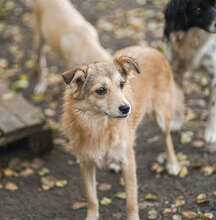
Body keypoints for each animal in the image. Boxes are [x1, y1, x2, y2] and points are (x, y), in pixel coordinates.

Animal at [61, 45, 181, 219]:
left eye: (122, 84)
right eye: (101, 90)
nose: (127, 108)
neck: (98, 126)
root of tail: (149, 48)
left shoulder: (129, 162)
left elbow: (131, 201)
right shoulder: (85, 162)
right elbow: (91, 197)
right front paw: (92, 216)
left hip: (161, 115)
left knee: (167, 139)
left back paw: (172, 164)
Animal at [164, 0, 216, 150]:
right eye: (198, 9)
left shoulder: (214, 75)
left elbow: (213, 107)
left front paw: (211, 132)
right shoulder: (176, 71)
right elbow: (178, 100)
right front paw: (175, 122)